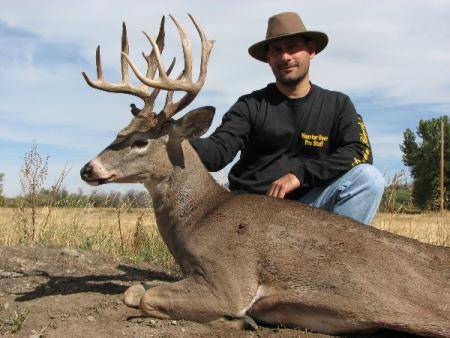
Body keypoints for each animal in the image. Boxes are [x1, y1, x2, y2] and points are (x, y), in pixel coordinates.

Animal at [81, 13, 450, 338]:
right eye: (119, 132)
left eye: (141, 141)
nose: (88, 168)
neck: (199, 217)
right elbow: (134, 291)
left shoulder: (229, 279)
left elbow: (144, 297)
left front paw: (242, 321)